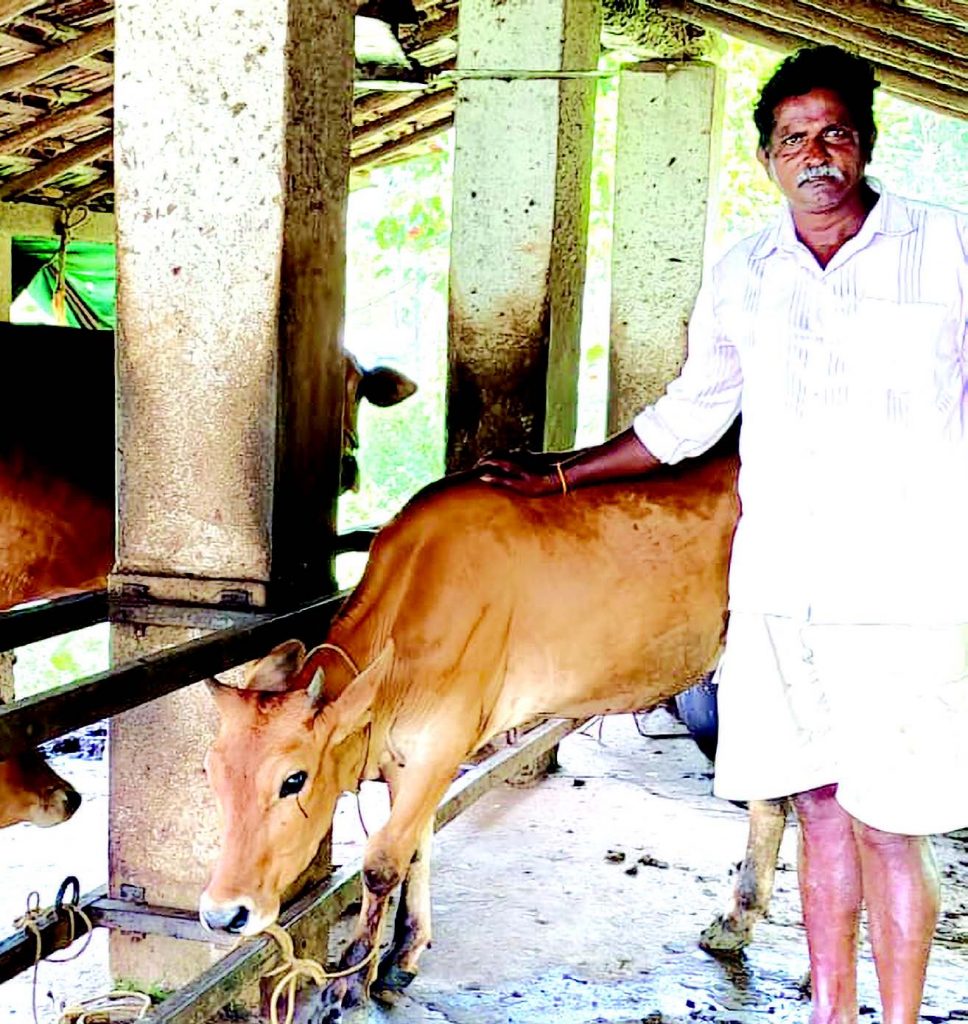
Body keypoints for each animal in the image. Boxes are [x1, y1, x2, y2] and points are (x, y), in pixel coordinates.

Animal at [199, 436, 745, 1011]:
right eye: (212, 775)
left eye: (294, 780)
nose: (223, 913)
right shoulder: (405, 756)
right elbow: (415, 846)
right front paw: (402, 955)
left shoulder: (445, 741)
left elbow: (382, 861)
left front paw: (351, 977)